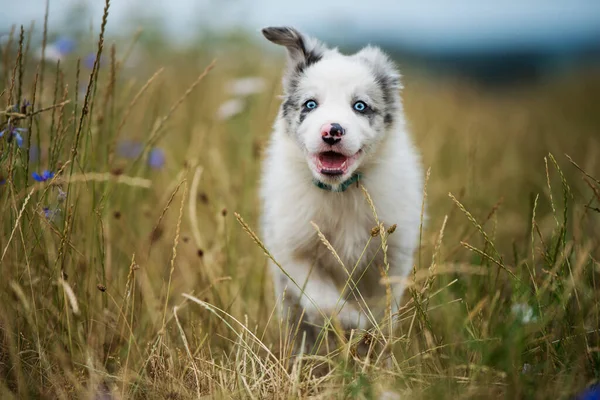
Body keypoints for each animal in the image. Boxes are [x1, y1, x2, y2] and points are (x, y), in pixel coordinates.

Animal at [260, 26, 424, 352]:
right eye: (310, 104)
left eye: (360, 106)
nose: (332, 131)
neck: (340, 192)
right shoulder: (294, 252)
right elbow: (324, 303)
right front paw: (353, 322)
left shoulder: (392, 258)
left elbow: (382, 311)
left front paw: (370, 338)